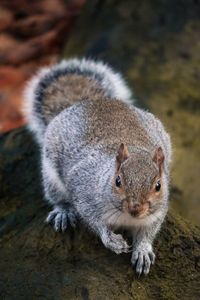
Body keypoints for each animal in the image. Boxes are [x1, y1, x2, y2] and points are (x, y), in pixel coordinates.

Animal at [24, 57, 172, 276]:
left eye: (158, 186)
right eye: (117, 181)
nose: (135, 209)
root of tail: (87, 101)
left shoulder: (156, 213)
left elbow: (148, 232)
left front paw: (143, 250)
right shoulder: (85, 193)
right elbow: (94, 222)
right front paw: (111, 240)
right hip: (51, 176)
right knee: (58, 197)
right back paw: (63, 212)